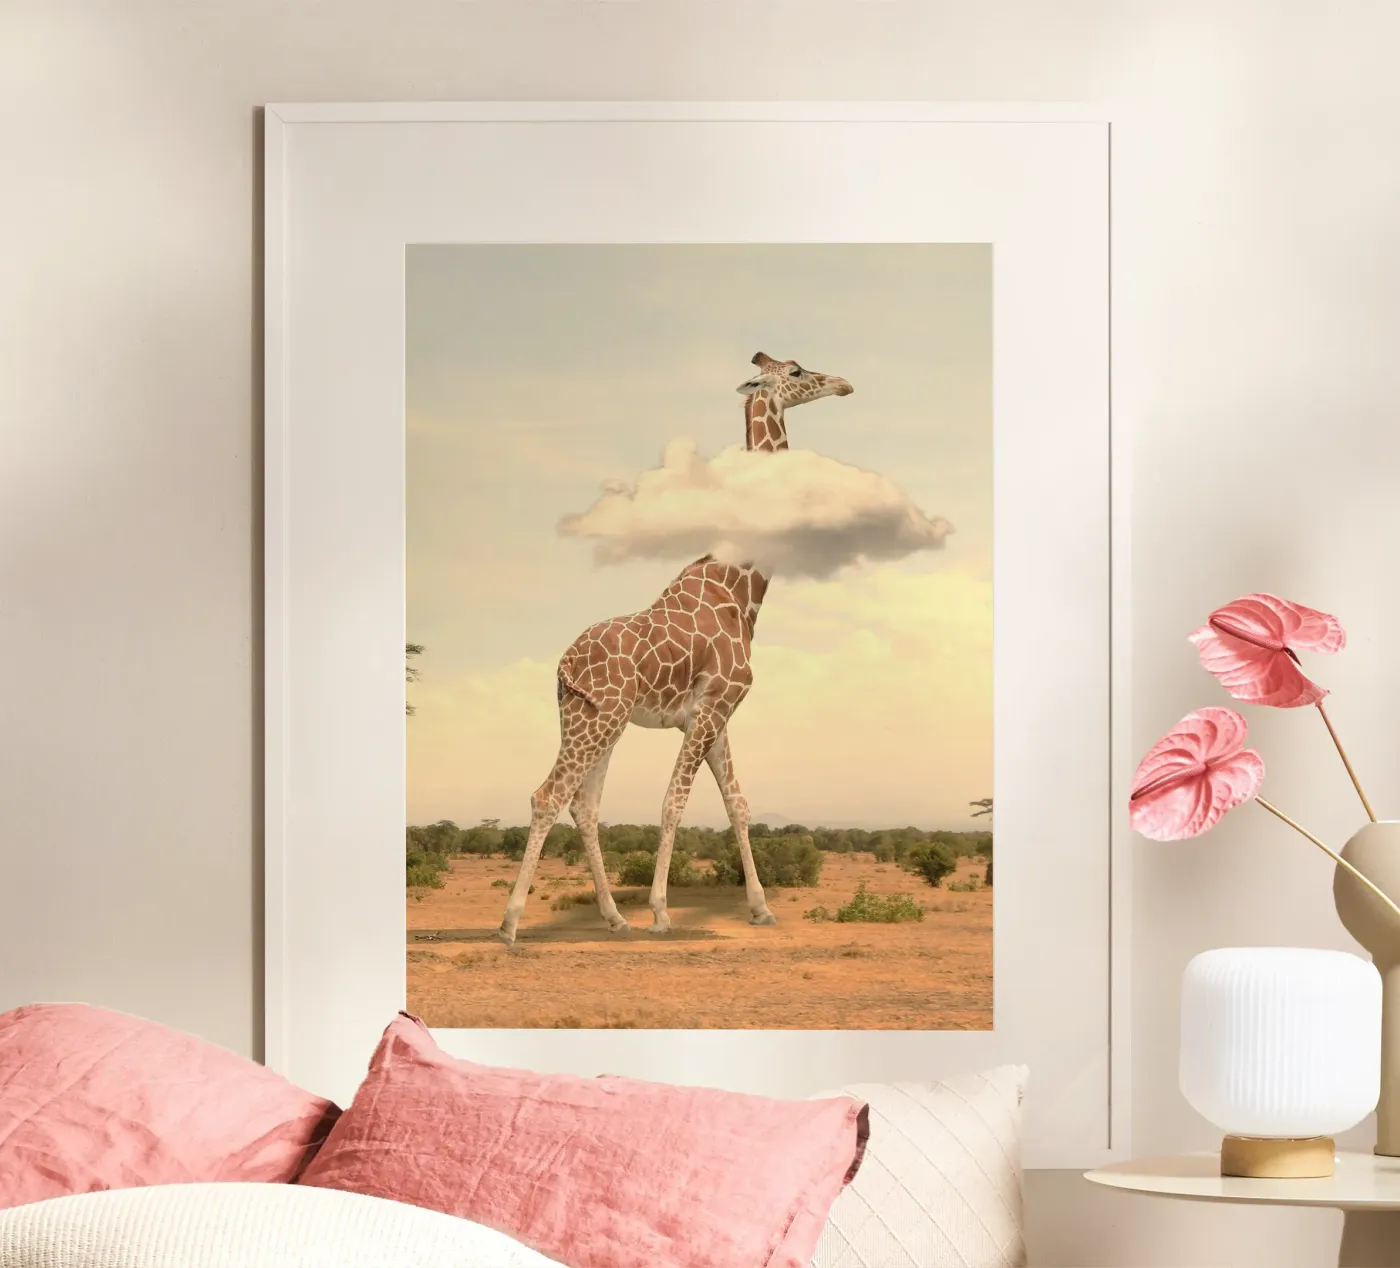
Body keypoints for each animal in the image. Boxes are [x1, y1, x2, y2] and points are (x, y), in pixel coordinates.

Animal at [498, 352, 854, 945]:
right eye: (798, 371)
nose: (844, 384)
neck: (741, 588)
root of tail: (563, 666)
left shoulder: (714, 714)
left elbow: (738, 804)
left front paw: (760, 909)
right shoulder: (712, 708)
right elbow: (674, 802)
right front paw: (662, 912)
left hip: (592, 719)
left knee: (584, 805)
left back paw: (615, 918)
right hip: (600, 719)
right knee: (549, 795)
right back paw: (510, 923)